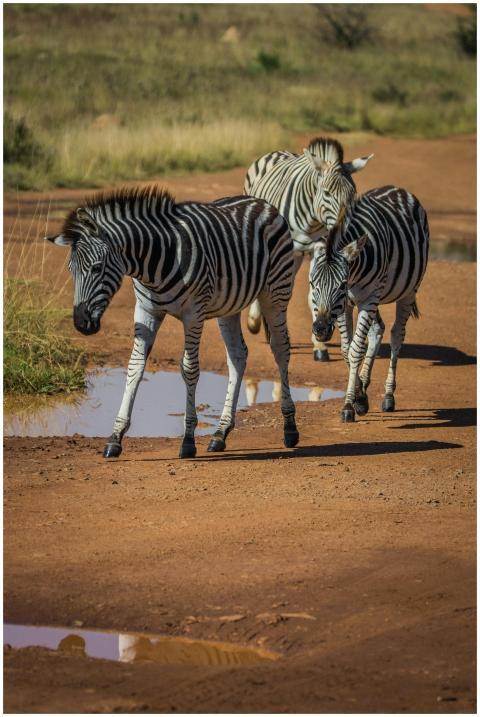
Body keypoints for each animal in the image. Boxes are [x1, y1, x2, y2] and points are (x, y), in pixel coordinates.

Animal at [46, 186, 299, 458]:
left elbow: (189, 369)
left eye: (95, 268)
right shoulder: (145, 311)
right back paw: (220, 433)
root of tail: (260, 202)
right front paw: (115, 437)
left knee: (281, 349)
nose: (81, 323)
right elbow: (135, 366)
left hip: (276, 292)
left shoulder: (193, 314)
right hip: (229, 306)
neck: (154, 263)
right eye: (71, 271)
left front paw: (188, 440)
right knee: (237, 356)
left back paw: (289, 428)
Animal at [244, 136, 373, 361]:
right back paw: (257, 322)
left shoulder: (318, 247)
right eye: (327, 193)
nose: (344, 230)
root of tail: (278, 152)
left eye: (353, 194)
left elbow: (313, 291)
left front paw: (319, 345)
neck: (311, 220)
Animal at [309, 185, 429, 422]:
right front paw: (359, 398)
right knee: (378, 329)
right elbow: (346, 349)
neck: (354, 275)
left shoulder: (368, 298)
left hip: (407, 291)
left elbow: (356, 349)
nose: (320, 330)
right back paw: (366, 386)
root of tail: (398, 189)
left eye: (341, 285)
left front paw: (348, 405)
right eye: (312, 284)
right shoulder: (347, 304)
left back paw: (389, 396)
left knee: (396, 335)